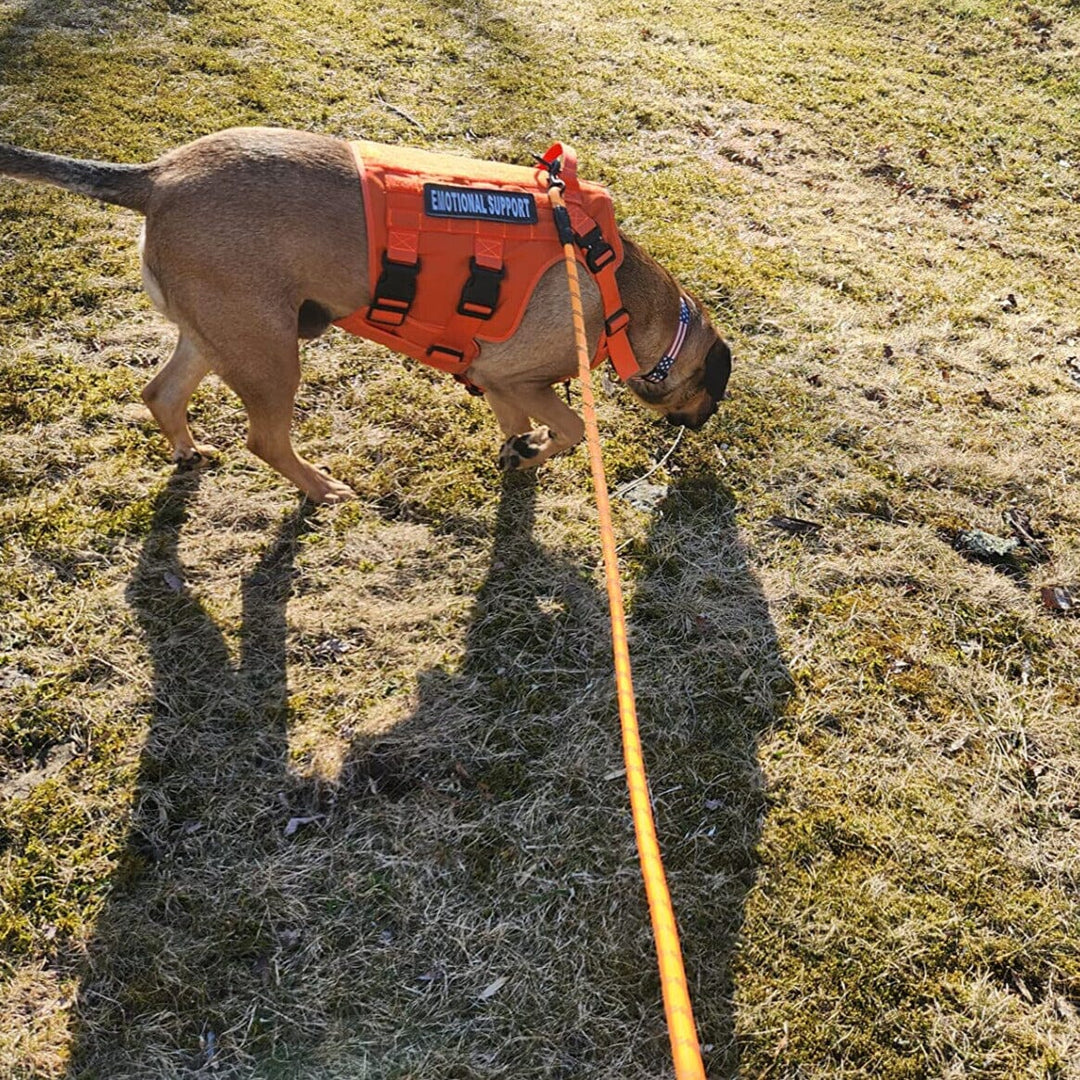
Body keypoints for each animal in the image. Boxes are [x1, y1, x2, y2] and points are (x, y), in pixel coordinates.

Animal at [0, 127, 730, 501]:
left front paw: (520, 456)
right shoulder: (518, 378)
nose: (701, 425)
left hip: (220, 335)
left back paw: (187, 451)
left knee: (161, 393)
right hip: (270, 356)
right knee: (265, 441)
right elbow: (574, 427)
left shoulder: (497, 383)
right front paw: (539, 451)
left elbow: (521, 428)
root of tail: (156, 178)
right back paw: (322, 488)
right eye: (711, 395)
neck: (626, 299)